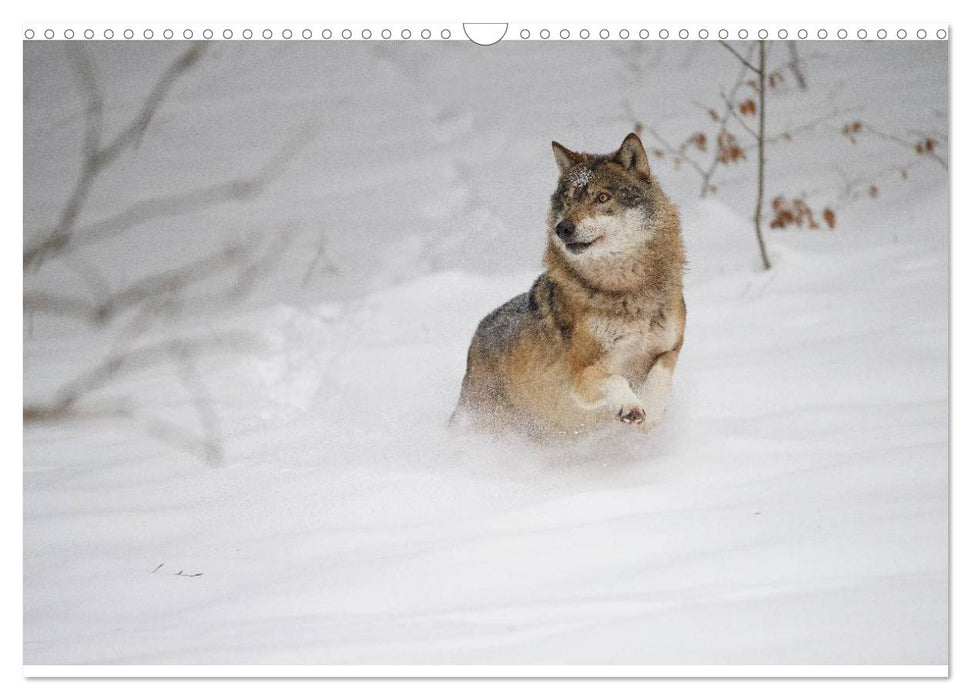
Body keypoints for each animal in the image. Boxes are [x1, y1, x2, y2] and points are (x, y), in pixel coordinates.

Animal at [452, 131, 688, 438]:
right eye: (567, 201)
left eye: (602, 197)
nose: (562, 228)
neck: (627, 290)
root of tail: (477, 334)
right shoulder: (581, 376)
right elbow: (615, 378)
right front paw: (630, 405)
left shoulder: (671, 348)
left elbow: (661, 373)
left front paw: (653, 409)